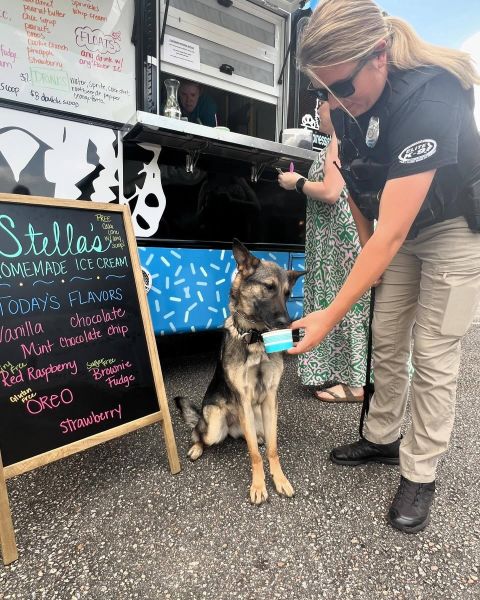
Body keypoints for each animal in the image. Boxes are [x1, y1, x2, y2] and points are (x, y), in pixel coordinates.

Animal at [175, 241, 304, 504]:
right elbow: (254, 454)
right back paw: (197, 447)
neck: (256, 338)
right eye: (268, 287)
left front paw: (279, 479)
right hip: (215, 422)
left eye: (287, 293)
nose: (287, 323)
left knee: (250, 435)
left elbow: (272, 449)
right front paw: (258, 485)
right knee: (200, 432)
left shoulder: (270, 399)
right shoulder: (243, 399)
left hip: (257, 416)